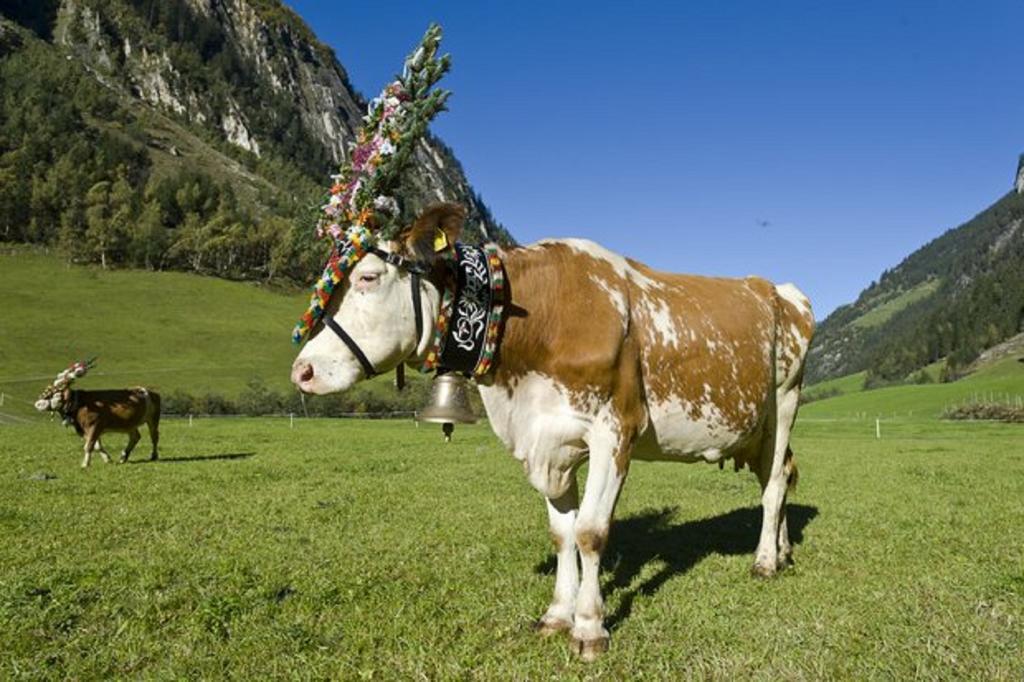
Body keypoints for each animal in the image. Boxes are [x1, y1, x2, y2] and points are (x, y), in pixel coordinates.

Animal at [292, 204, 811, 655]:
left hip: (785, 401)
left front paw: (589, 628)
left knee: (773, 485)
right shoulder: (546, 438)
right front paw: (558, 615)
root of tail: (778, 288)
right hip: (758, 428)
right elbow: (562, 534)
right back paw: (784, 551)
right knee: (780, 476)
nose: (302, 370)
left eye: (368, 278)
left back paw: (765, 562)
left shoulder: (613, 431)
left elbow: (590, 532)